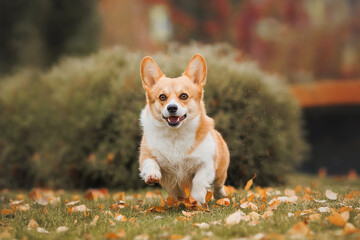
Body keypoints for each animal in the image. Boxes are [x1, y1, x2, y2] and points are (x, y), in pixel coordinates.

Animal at [139, 54, 229, 204]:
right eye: (162, 97)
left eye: (183, 96)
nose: (172, 108)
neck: (175, 135)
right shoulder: (146, 155)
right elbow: (150, 163)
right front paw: (152, 175)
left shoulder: (206, 164)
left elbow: (199, 181)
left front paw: (197, 199)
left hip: (220, 173)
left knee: (218, 185)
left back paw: (222, 196)